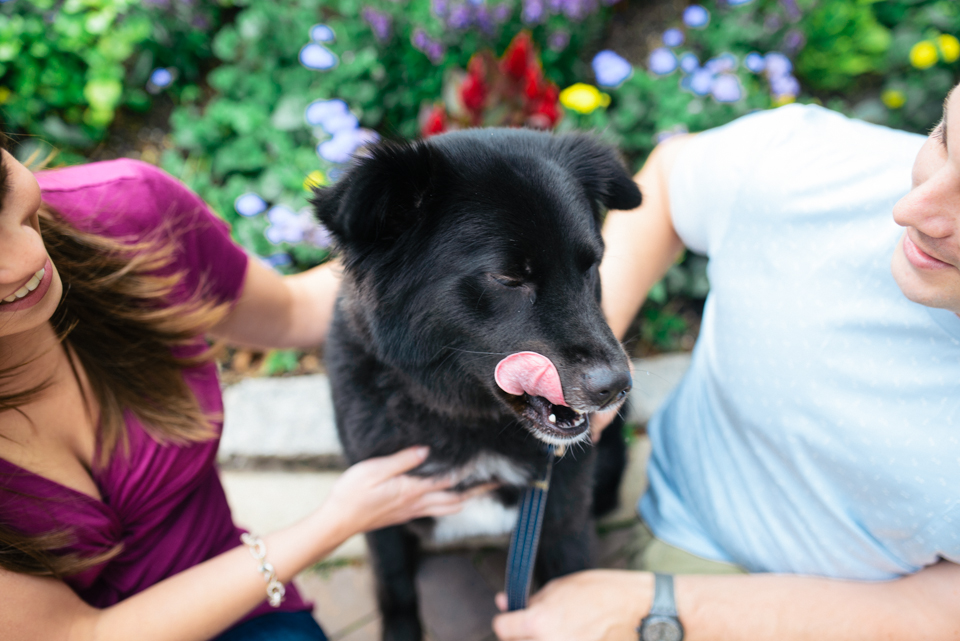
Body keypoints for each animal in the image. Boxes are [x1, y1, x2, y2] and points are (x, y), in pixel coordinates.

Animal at [316, 127, 640, 636]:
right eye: (508, 278)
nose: (617, 386)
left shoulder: (562, 513)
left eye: (590, 265)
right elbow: (395, 587)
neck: (470, 420)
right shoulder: (378, 509)